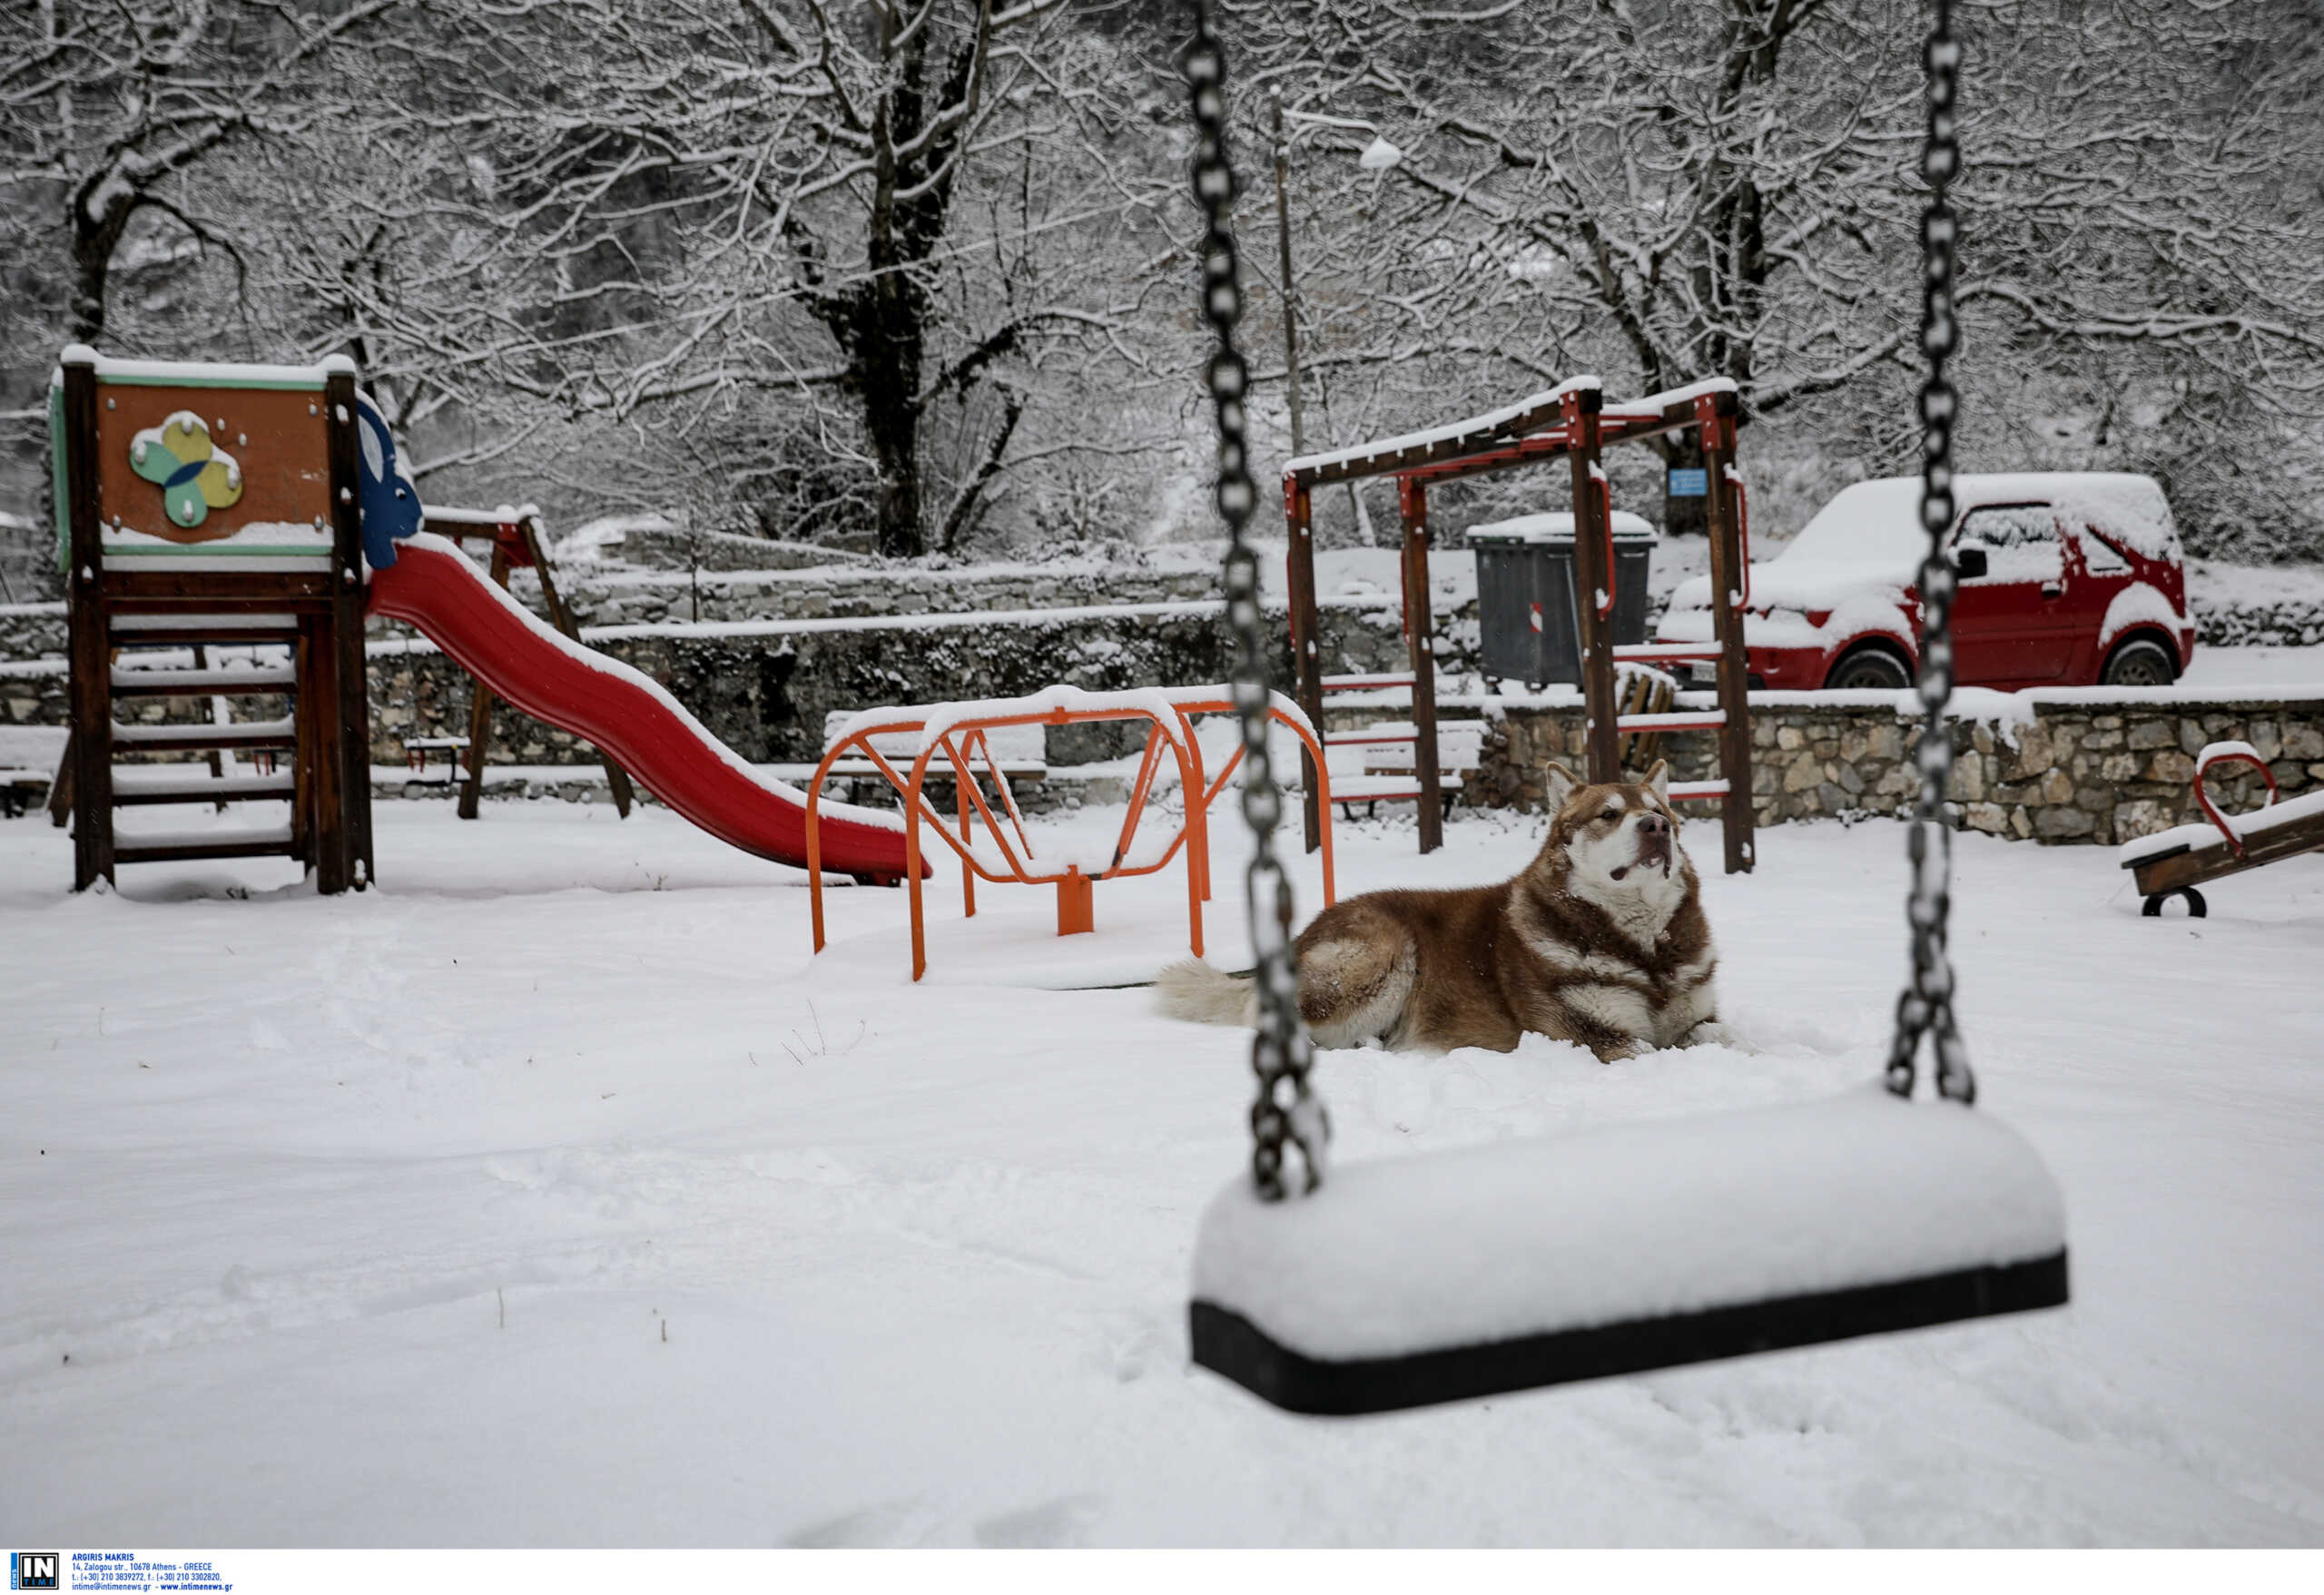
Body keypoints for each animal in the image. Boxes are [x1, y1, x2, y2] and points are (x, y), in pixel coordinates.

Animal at [1157, 763, 1728, 1059]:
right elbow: (1646, 1052)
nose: (1655, 828)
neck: (1642, 950)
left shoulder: (1698, 1019)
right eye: (1609, 815)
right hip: (1383, 958)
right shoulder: (1587, 1033)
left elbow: (1727, 1039)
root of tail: (1307, 930)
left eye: (1659, 813)